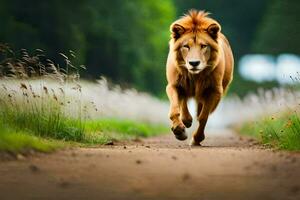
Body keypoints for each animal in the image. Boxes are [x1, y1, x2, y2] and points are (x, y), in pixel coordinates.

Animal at [166, 10, 234, 145]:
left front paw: (197, 139)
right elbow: (175, 110)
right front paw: (179, 131)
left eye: (203, 46)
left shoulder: (213, 91)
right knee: (183, 102)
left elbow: (203, 117)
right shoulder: (173, 85)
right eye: (186, 46)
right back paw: (186, 121)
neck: (195, 76)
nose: (194, 63)